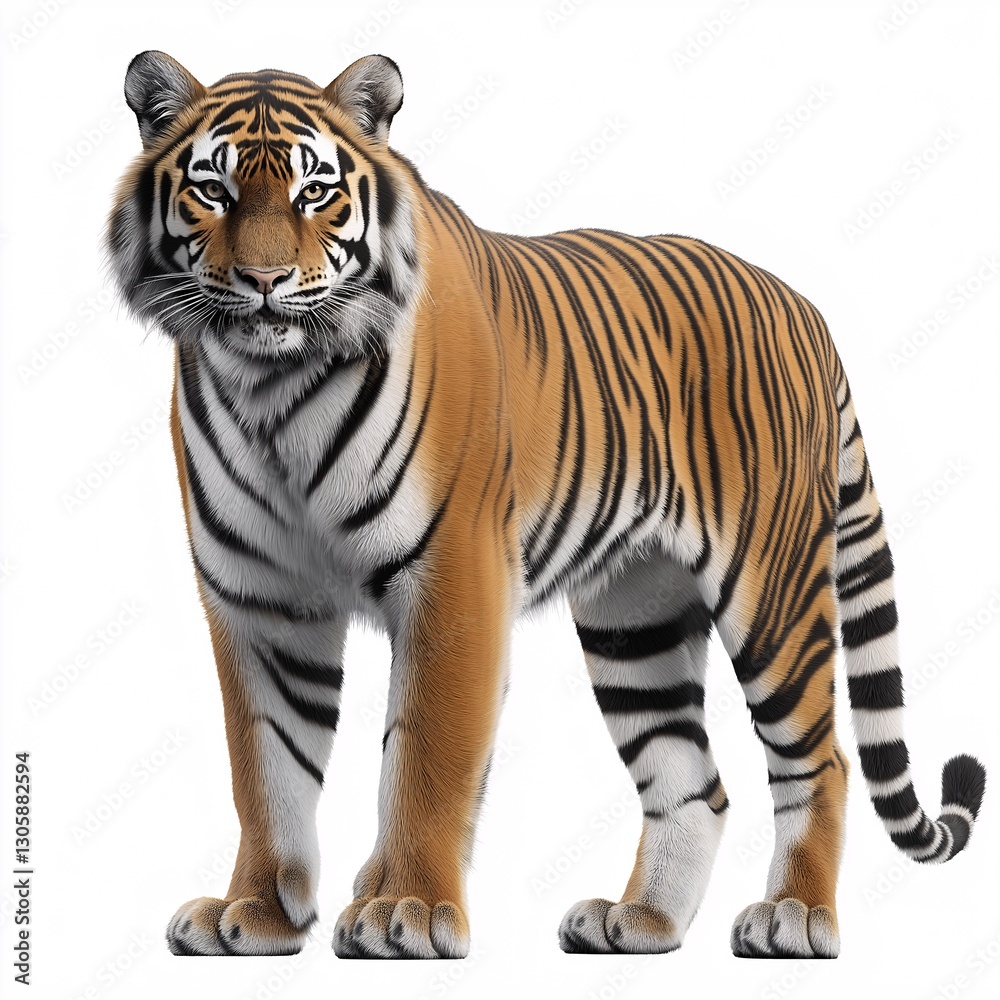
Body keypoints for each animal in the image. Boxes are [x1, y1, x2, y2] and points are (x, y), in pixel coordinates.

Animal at [105, 51, 986, 961]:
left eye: (316, 191)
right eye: (213, 189)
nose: (265, 282)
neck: (272, 389)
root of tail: (805, 311)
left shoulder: (452, 578)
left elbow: (424, 758)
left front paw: (405, 910)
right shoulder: (260, 600)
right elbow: (266, 769)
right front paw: (256, 914)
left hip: (773, 593)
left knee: (821, 759)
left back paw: (796, 917)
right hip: (636, 617)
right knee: (693, 783)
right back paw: (640, 921)